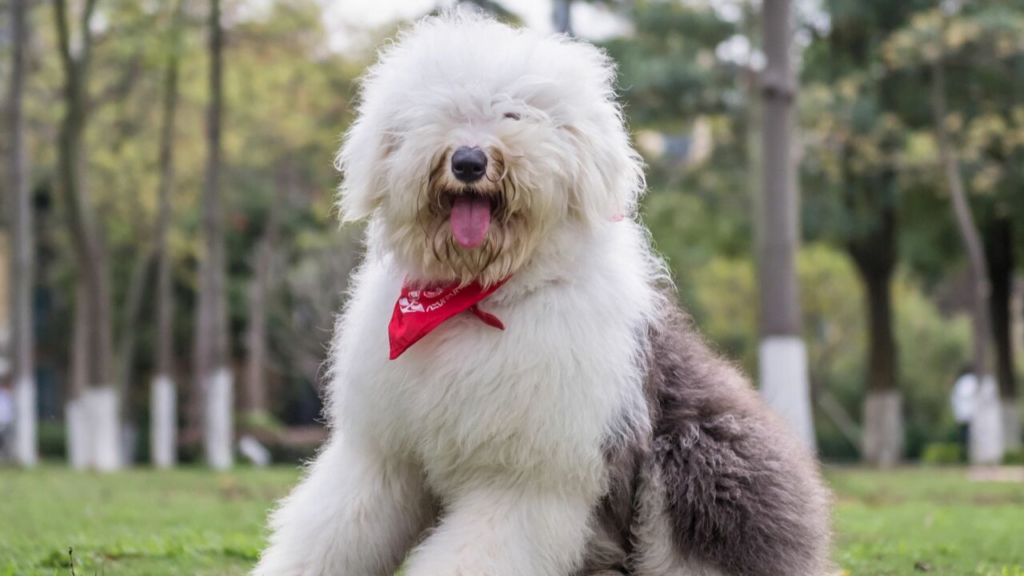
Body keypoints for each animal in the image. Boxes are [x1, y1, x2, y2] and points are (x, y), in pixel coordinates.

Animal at [253, 10, 831, 573]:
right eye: (443, 111)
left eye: (515, 115)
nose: (468, 161)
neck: (475, 302)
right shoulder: (381, 455)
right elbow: (331, 532)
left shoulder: (525, 477)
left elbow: (477, 552)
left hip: (702, 456)